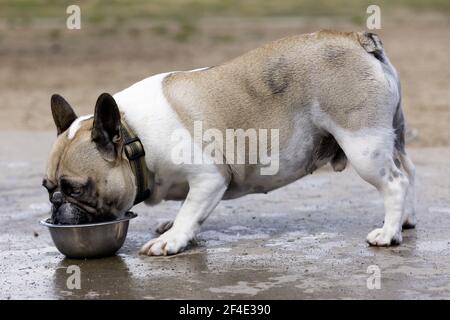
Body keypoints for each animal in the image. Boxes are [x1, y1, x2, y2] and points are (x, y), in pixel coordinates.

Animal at [44, 30, 416, 255]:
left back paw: (387, 233)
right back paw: (403, 222)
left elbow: (190, 211)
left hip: (363, 146)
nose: (56, 203)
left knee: (395, 182)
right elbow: (190, 210)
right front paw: (173, 227)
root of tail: (358, 40)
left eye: (75, 188)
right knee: (409, 173)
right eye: (48, 188)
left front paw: (171, 239)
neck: (135, 137)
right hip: (390, 138)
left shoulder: (209, 178)